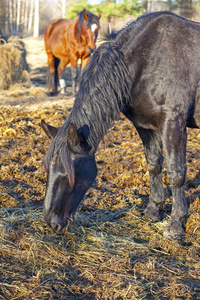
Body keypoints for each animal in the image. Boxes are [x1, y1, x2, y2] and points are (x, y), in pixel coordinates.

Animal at [41, 11, 200, 239]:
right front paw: (153, 210)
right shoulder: (145, 126)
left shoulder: (173, 124)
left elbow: (176, 172)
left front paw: (176, 224)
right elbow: (153, 164)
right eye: (48, 169)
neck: (145, 60)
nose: (52, 223)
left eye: (70, 172)